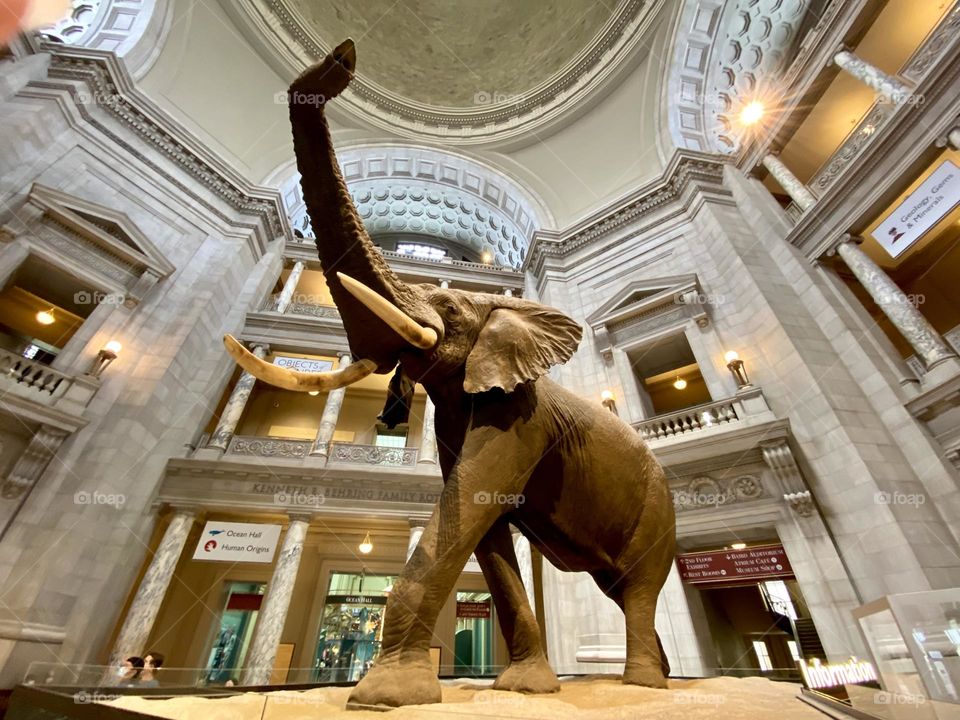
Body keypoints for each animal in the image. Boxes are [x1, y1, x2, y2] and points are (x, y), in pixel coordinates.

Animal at [224, 40, 676, 708]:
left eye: (453, 311)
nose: (339, 59)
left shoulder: (519, 416)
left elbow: (470, 505)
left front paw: (386, 696)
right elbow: (482, 530)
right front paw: (525, 688)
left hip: (658, 509)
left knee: (641, 588)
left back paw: (644, 684)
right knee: (618, 589)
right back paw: (656, 675)